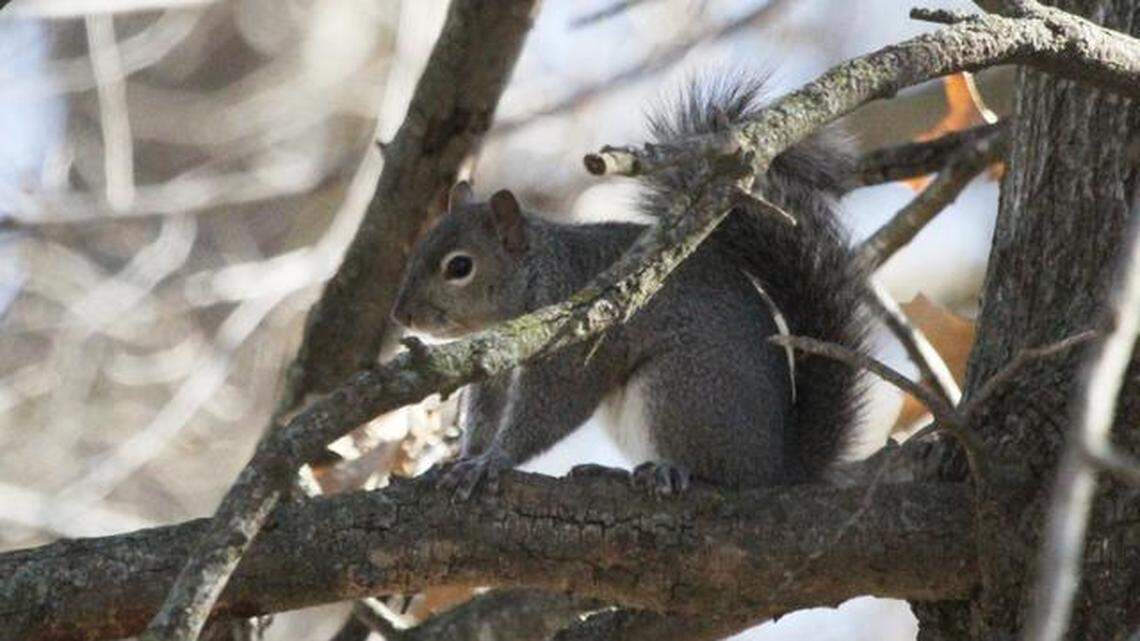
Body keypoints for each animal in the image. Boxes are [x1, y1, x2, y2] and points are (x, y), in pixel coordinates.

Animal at [390, 76, 869, 498]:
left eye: (460, 266)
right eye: (416, 252)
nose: (401, 315)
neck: (540, 276)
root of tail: (778, 467)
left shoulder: (573, 346)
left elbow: (552, 407)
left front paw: (492, 461)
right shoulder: (495, 373)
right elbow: (486, 415)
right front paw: (464, 459)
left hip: (679, 388)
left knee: (715, 474)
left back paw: (664, 471)